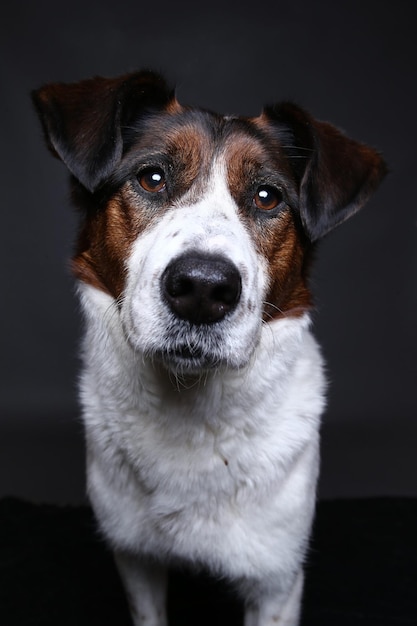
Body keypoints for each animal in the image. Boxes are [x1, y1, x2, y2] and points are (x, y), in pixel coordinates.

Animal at [31, 70, 384, 620]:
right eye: (152, 178)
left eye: (267, 196)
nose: (202, 289)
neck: (192, 410)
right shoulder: (135, 560)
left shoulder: (277, 583)